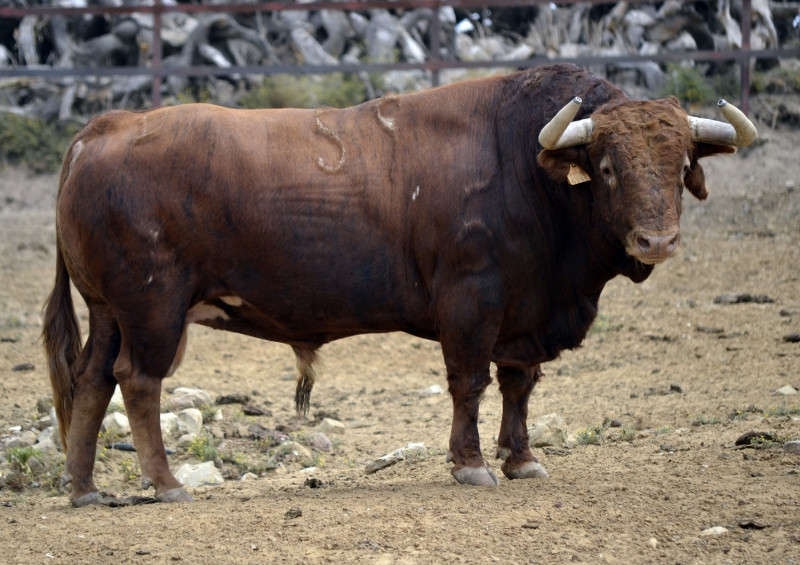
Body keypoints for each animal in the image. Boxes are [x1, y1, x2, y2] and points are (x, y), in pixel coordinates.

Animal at [43, 64, 756, 504]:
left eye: (681, 164)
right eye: (607, 167)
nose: (656, 242)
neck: (523, 166)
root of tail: (104, 128)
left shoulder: (523, 312)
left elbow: (519, 385)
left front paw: (521, 459)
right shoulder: (472, 301)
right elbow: (469, 383)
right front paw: (471, 465)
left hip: (108, 310)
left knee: (90, 379)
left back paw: (85, 488)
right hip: (152, 308)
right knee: (137, 381)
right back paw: (165, 483)